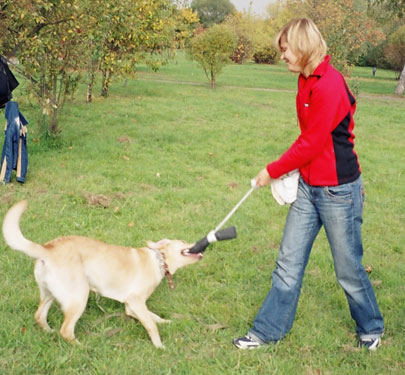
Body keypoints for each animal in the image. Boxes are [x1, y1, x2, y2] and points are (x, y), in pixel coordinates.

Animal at [1, 201, 200, 348]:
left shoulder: (131, 306)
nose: (199, 243)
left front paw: (167, 322)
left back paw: (50, 332)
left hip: (49, 293)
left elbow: (154, 317)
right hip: (79, 296)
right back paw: (81, 347)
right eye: (183, 241)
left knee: (40, 316)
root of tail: (47, 249)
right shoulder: (136, 302)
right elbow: (151, 325)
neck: (159, 259)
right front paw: (159, 346)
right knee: (66, 330)